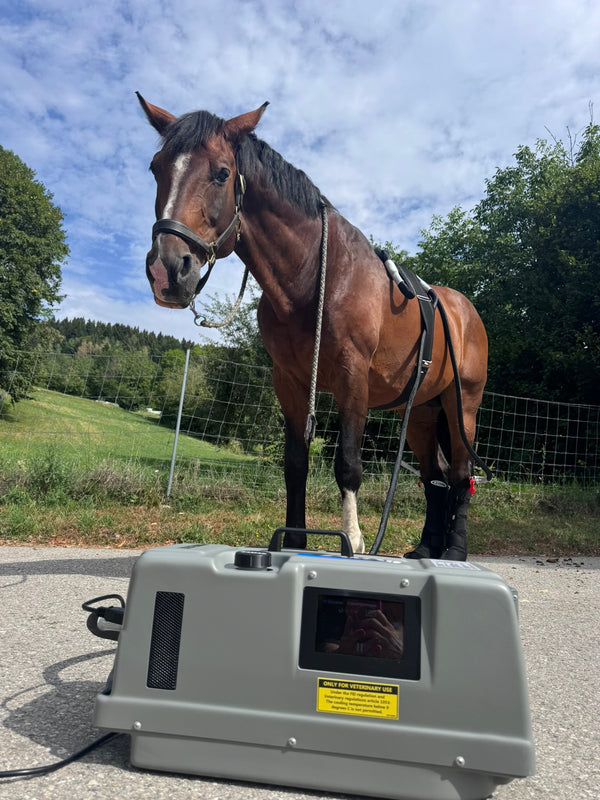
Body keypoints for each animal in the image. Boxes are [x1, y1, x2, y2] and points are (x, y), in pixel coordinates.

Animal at [137, 94, 488, 560]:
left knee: (462, 473)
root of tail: (466, 312)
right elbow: (295, 463)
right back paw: (426, 548)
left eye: (222, 173)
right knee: (436, 474)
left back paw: (454, 552)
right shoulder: (290, 381)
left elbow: (348, 464)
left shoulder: (352, 378)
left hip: (462, 403)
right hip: (420, 412)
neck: (314, 274)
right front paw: (295, 541)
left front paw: (353, 541)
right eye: (156, 167)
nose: (167, 270)